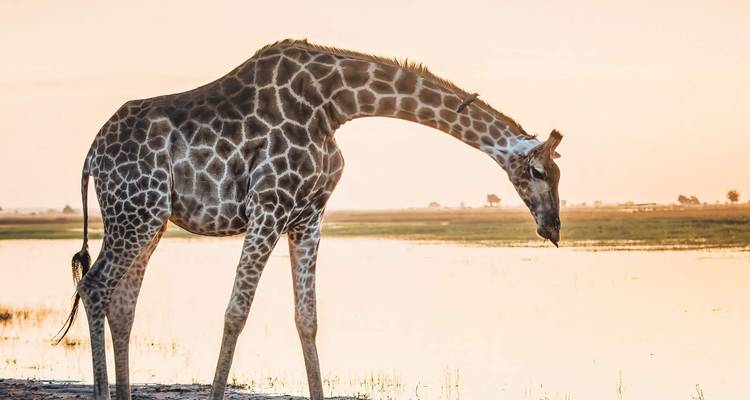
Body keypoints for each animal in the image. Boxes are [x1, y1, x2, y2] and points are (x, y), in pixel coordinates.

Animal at [54, 39, 563, 400]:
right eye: (538, 172)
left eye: (559, 173)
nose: (553, 228)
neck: (336, 105)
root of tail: (91, 155)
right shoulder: (269, 205)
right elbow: (236, 312)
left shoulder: (308, 216)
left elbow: (307, 317)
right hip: (134, 213)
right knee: (95, 286)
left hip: (150, 219)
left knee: (122, 303)